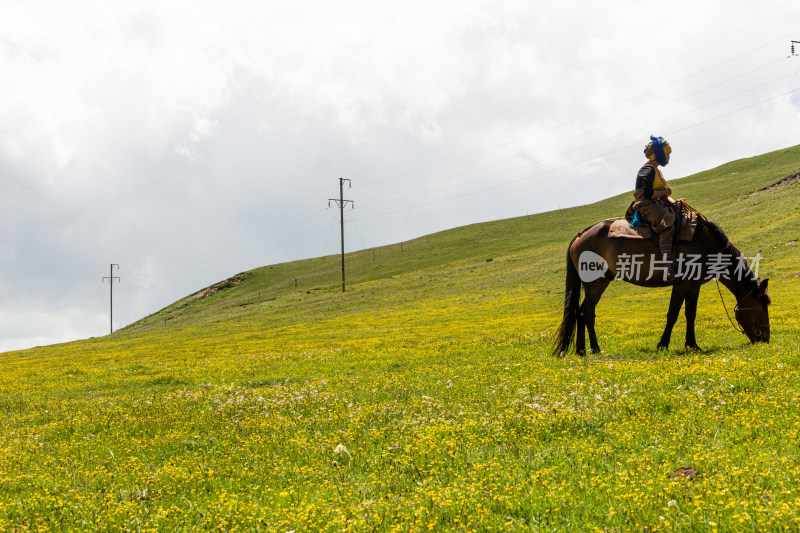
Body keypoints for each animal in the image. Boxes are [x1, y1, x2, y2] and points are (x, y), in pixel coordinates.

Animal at [556, 210, 768, 356]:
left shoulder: (694, 285)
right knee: (587, 312)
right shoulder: (682, 284)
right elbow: (672, 314)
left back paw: (581, 350)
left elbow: (691, 314)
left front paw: (692, 344)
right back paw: (595, 348)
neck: (709, 246)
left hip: (602, 281)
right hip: (594, 282)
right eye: (759, 307)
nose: (765, 339)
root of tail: (581, 235)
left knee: (580, 312)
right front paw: (663, 344)